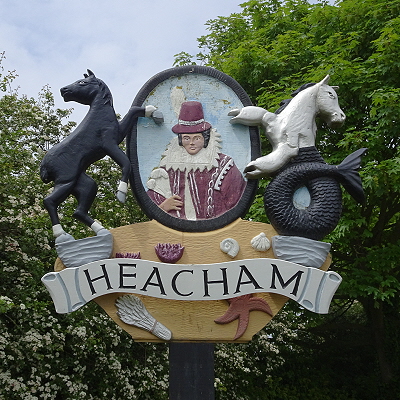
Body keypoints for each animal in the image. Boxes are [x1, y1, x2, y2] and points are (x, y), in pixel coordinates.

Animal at [38, 69, 155, 238]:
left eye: (82, 82)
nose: (63, 90)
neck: (100, 114)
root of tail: (44, 166)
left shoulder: (119, 133)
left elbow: (133, 111)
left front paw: (152, 111)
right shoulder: (108, 144)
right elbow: (126, 163)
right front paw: (121, 194)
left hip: (83, 183)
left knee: (78, 211)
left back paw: (101, 230)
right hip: (66, 180)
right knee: (49, 201)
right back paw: (61, 235)